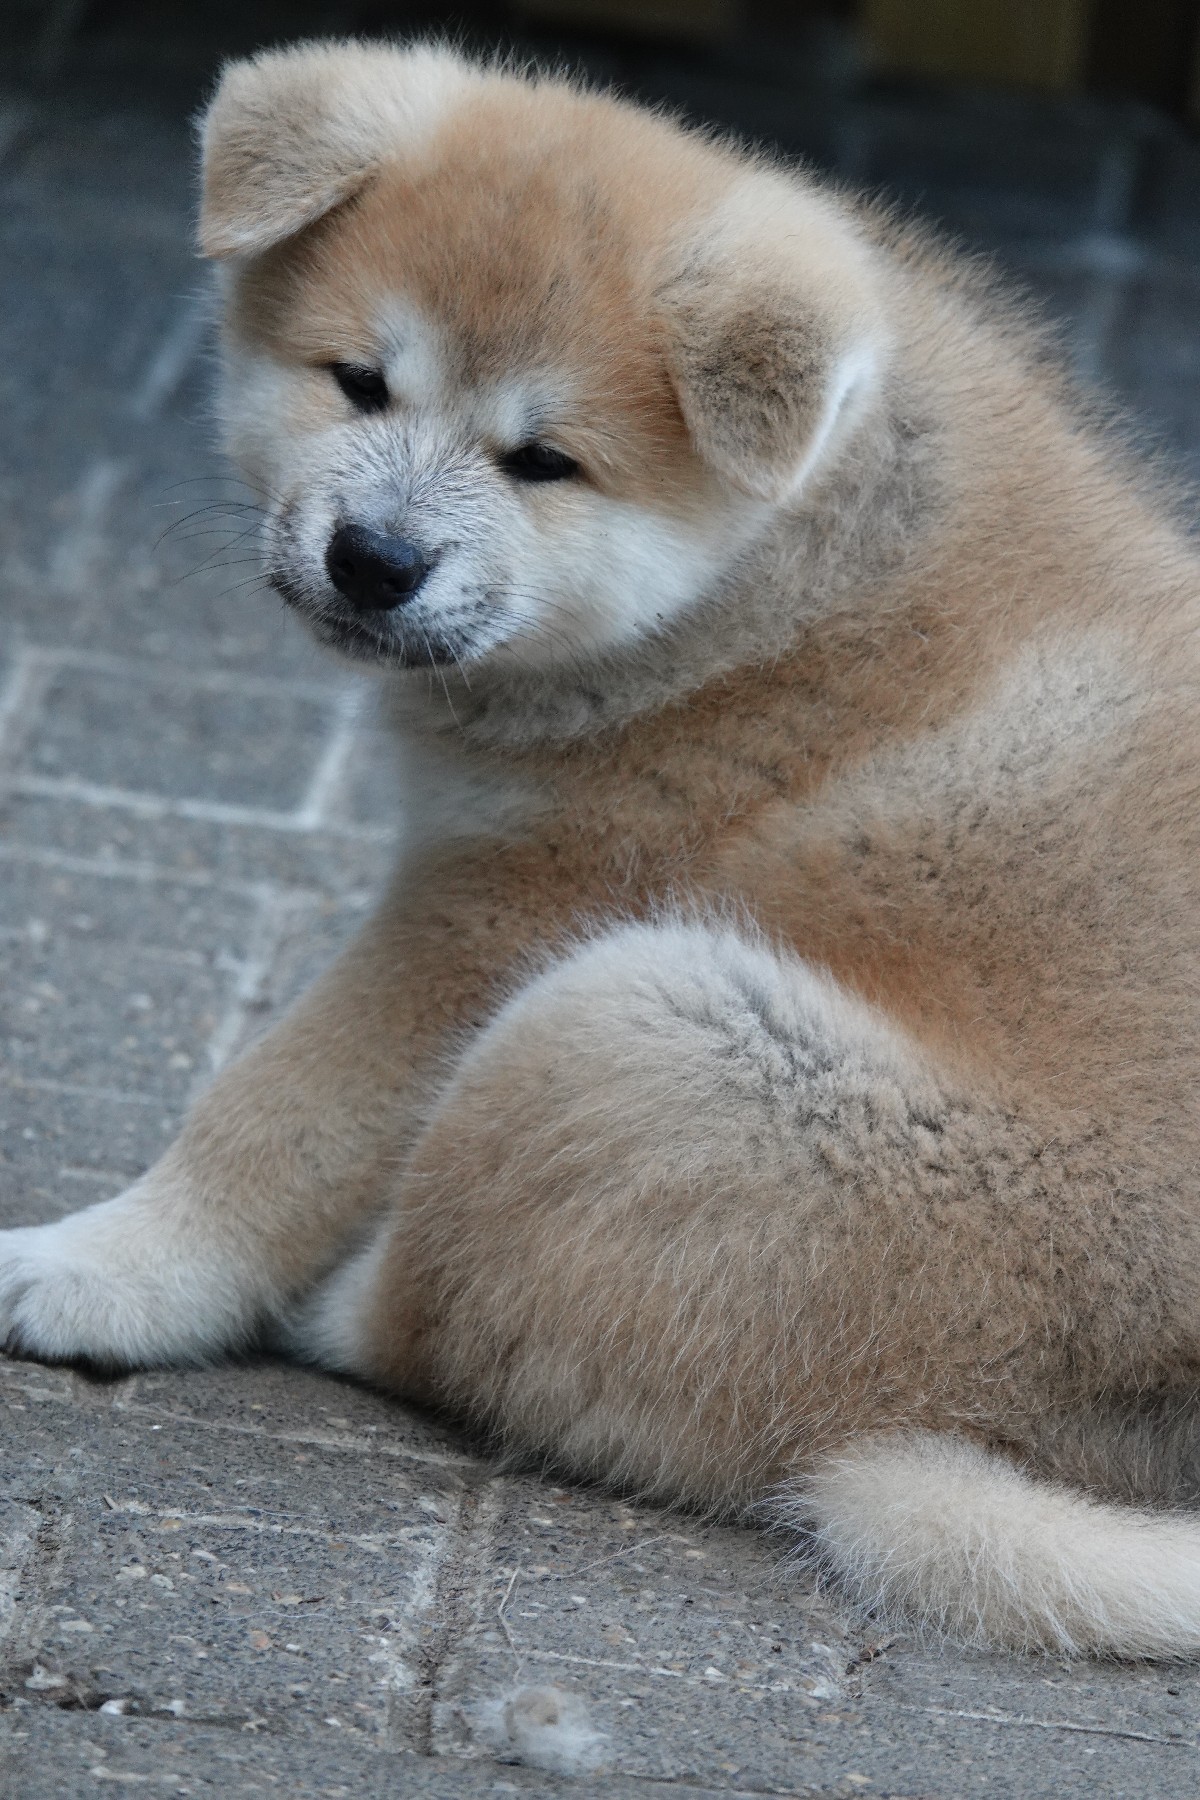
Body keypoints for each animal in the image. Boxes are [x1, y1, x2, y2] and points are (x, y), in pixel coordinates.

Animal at [4, 38, 1200, 1655]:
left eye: (545, 462)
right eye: (360, 381)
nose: (375, 560)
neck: (775, 572)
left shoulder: (495, 911)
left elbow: (275, 1113)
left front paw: (102, 1271)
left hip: (622, 1022)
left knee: (444, 1324)